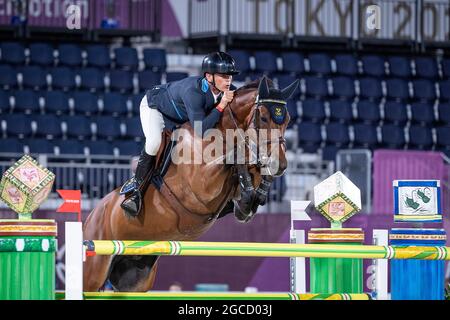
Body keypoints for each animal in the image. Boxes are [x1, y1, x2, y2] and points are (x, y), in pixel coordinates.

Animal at [83, 77, 298, 292]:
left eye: (287, 120)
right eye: (264, 118)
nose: (281, 165)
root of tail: (91, 216)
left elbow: (247, 177)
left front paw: (253, 196)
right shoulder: (200, 186)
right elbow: (235, 155)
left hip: (136, 276)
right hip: (94, 271)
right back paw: (131, 197)